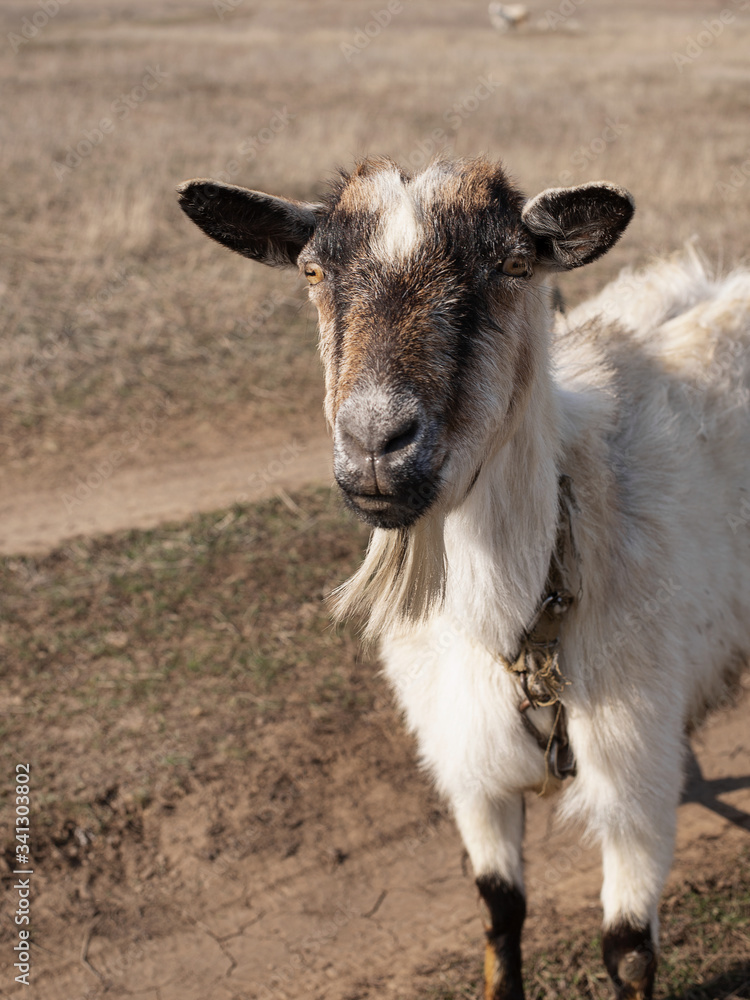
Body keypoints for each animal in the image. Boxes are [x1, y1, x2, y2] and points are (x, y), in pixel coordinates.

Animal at [177, 156, 750, 1000]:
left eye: (513, 264)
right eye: (312, 271)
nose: (376, 445)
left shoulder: (634, 774)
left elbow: (627, 950)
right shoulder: (468, 766)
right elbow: (499, 908)